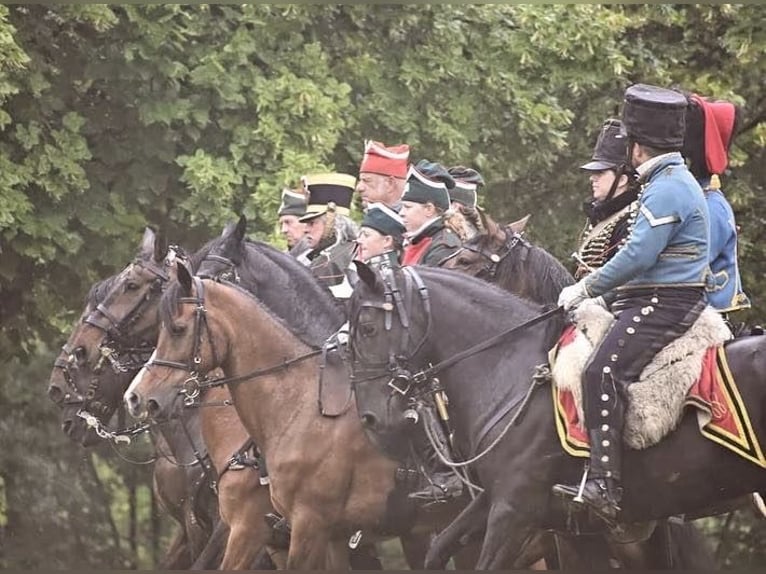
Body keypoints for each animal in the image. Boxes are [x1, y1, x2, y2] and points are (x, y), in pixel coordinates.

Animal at [348, 266, 766, 572]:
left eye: (366, 328)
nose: (370, 419)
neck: (510, 372)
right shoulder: (507, 504)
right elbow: (439, 550)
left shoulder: (515, 513)